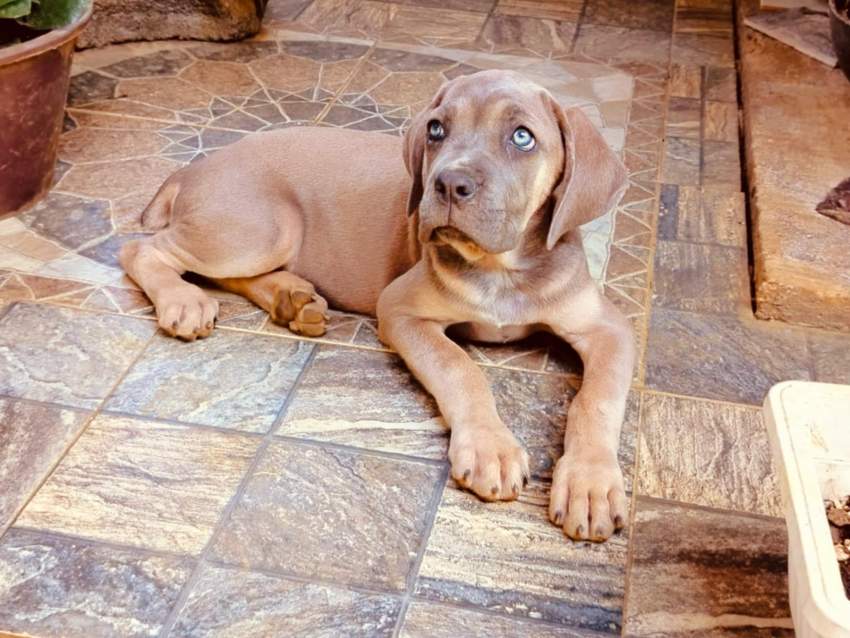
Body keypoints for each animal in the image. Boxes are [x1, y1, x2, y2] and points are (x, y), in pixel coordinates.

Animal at [122, 70, 632, 544]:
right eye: (436, 130)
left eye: (522, 137)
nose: (449, 184)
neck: (502, 270)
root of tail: (197, 165)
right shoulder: (402, 309)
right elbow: (460, 368)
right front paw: (491, 447)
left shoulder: (607, 328)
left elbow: (596, 400)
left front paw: (589, 482)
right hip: (261, 229)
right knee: (141, 250)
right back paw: (183, 300)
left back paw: (292, 299)